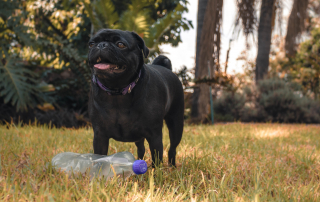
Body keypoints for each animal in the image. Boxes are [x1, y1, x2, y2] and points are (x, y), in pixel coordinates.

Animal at [87, 28, 184, 167]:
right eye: (91, 44)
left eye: (120, 44)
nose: (101, 45)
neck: (117, 91)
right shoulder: (100, 135)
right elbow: (99, 157)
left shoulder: (154, 135)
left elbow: (157, 156)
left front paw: (155, 172)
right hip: (139, 137)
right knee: (141, 148)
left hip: (176, 124)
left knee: (172, 148)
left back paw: (172, 166)